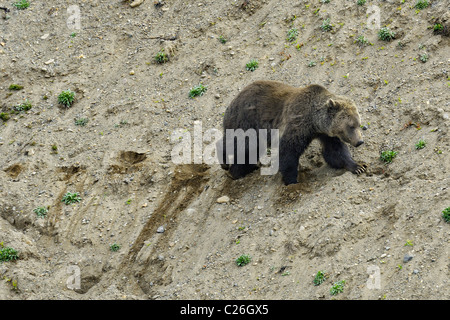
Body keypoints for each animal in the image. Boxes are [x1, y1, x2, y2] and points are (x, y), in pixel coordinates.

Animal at [218, 80, 366, 185]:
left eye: (359, 124)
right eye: (351, 126)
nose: (360, 141)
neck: (314, 121)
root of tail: (233, 101)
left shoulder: (325, 134)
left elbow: (335, 151)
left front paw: (358, 166)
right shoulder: (298, 123)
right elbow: (288, 151)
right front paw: (292, 180)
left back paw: (238, 171)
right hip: (247, 120)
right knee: (240, 143)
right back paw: (225, 161)